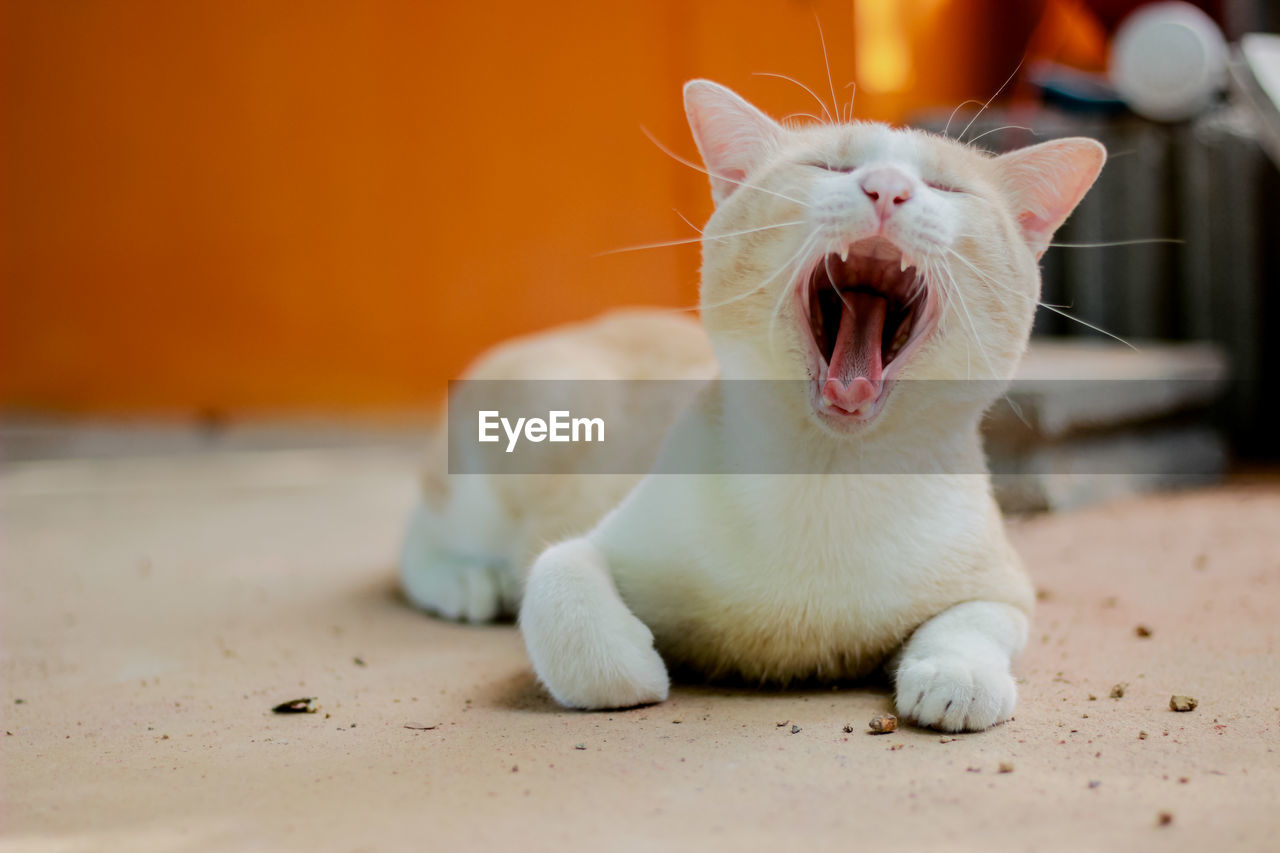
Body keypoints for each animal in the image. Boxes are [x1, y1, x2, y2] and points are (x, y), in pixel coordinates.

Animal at [399, 81, 1100, 732]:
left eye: (944, 187)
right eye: (829, 167)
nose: (888, 188)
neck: (826, 475)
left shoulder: (1003, 583)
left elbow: (976, 621)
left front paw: (958, 675)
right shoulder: (597, 539)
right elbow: (557, 577)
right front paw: (629, 665)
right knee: (421, 538)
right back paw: (467, 581)